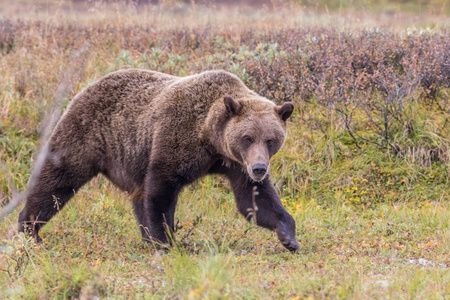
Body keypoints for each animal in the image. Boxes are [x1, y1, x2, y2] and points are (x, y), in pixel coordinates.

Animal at [17, 69, 300, 252]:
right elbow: (162, 190)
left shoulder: (236, 165)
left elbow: (253, 200)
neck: (210, 139)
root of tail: (87, 86)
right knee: (57, 181)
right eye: (247, 137)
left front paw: (289, 237)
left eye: (270, 139)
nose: (260, 168)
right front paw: (167, 241)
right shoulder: (178, 138)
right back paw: (29, 230)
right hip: (86, 134)